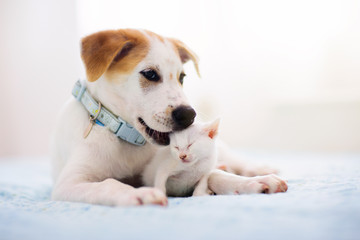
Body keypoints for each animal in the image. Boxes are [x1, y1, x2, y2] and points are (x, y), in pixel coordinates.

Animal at [50, 29, 288, 206]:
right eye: (150, 74)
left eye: (182, 77)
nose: (189, 115)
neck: (128, 142)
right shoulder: (69, 183)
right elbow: (108, 184)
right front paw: (137, 193)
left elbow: (214, 175)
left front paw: (252, 182)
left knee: (231, 158)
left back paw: (259, 170)